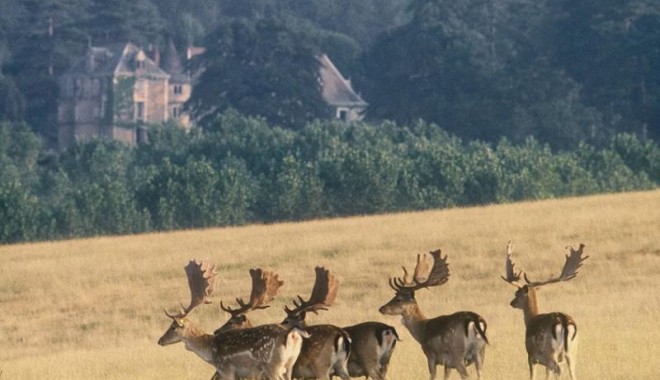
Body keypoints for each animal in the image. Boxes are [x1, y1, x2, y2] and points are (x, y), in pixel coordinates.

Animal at [158, 260, 310, 378]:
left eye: (173, 327)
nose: (160, 340)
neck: (210, 351)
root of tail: (291, 334)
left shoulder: (226, 369)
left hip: (272, 365)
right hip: (290, 365)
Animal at [378, 249, 488, 380]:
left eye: (398, 299)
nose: (381, 308)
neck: (422, 330)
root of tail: (474, 320)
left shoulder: (430, 354)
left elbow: (432, 375)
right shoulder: (447, 364)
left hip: (458, 352)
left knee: (466, 375)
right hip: (480, 352)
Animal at [500, 242, 588, 378]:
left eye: (517, 293)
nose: (512, 303)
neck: (530, 319)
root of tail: (564, 322)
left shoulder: (531, 356)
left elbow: (533, 376)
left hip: (549, 352)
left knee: (558, 369)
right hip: (572, 352)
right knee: (572, 372)